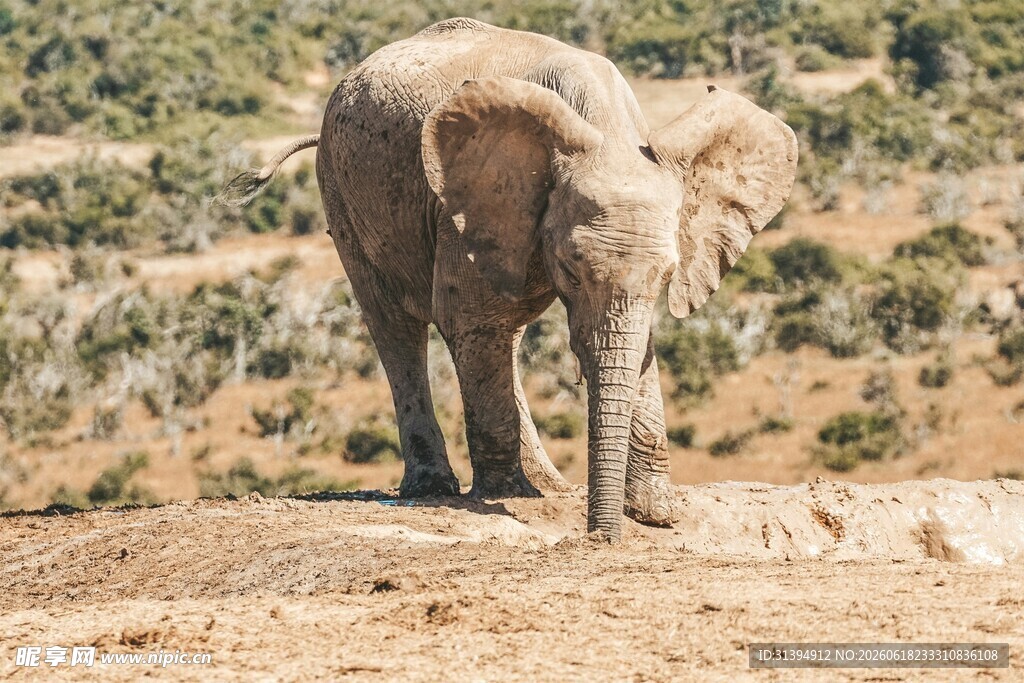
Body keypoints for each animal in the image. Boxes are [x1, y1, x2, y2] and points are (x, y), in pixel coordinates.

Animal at [219, 18, 797, 541]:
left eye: (669, 276)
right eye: (571, 267)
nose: (600, 538)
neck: (606, 130)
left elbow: (637, 347)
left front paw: (655, 514)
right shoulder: (468, 202)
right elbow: (467, 317)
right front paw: (506, 498)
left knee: (502, 337)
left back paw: (550, 485)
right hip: (343, 190)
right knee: (397, 325)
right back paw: (440, 488)